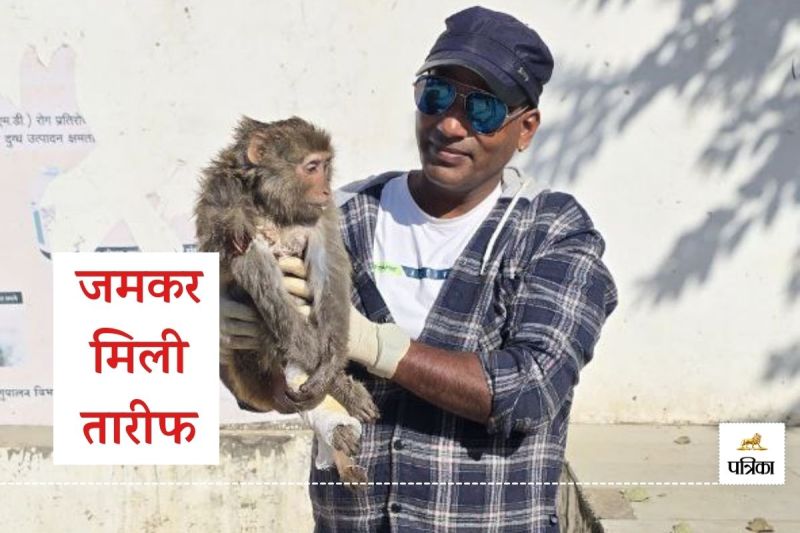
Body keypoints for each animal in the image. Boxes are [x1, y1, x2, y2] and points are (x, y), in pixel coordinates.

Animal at [194, 116, 378, 483]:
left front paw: (331, 368)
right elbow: (255, 270)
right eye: (312, 167)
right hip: (245, 366)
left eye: (326, 165)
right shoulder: (226, 203)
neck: (269, 203)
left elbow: (329, 266)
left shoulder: (321, 213)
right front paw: (342, 387)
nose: (326, 189)